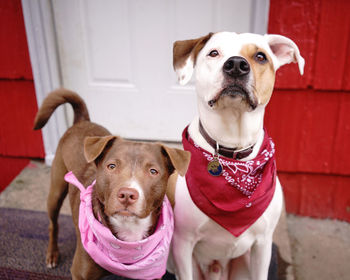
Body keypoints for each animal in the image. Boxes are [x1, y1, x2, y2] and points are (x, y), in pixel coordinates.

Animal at [33, 88, 189, 278]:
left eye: (153, 171)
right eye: (112, 166)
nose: (127, 194)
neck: (129, 231)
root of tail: (82, 121)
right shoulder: (79, 273)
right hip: (56, 190)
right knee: (52, 224)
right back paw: (52, 255)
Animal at [168, 31, 304, 278]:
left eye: (260, 56)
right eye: (213, 53)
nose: (237, 66)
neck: (232, 148)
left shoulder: (263, 245)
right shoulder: (183, 244)